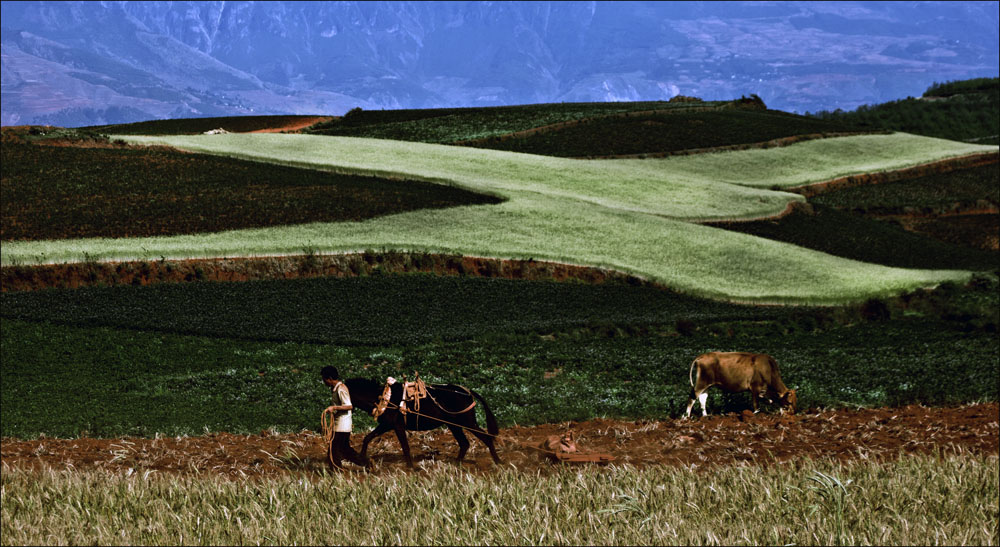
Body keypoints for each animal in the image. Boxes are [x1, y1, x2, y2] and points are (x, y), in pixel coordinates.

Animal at [346, 378, 504, 468]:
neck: (384, 398)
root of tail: (467, 391)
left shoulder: (395, 425)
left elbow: (405, 447)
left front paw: (410, 467)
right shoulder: (386, 425)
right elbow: (367, 438)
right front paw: (361, 459)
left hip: (467, 422)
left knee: (486, 438)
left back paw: (498, 461)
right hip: (454, 425)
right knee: (465, 443)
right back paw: (456, 464)